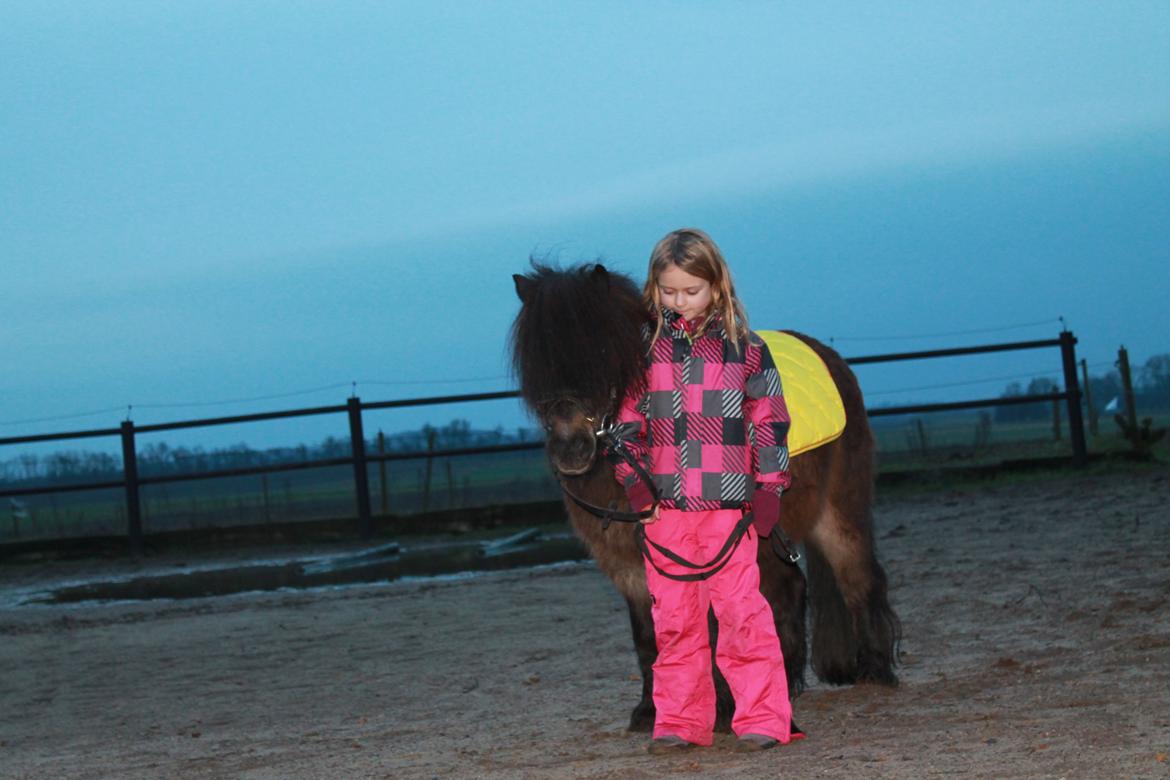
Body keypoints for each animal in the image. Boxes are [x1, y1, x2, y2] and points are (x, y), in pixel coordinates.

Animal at [510, 262, 900, 732]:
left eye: (603, 353)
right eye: (537, 363)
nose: (570, 450)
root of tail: (830, 358)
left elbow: (712, 629)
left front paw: (719, 709)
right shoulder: (630, 566)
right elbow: (649, 636)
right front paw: (651, 711)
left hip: (835, 512)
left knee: (858, 577)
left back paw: (874, 670)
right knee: (789, 589)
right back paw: (785, 683)